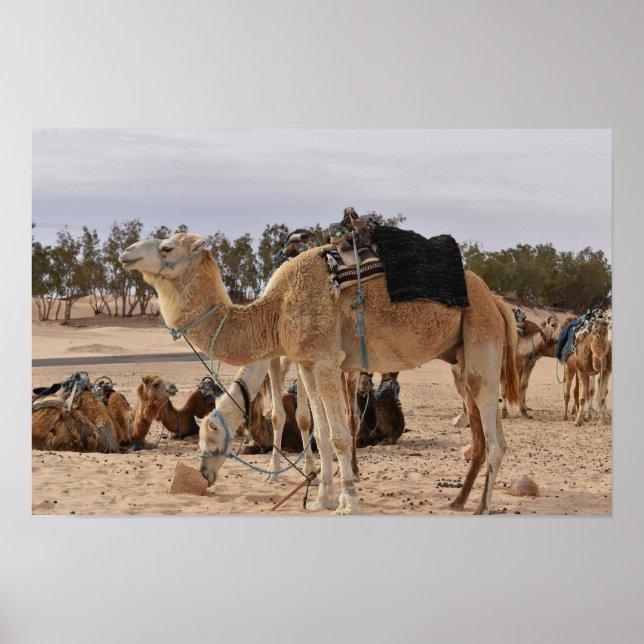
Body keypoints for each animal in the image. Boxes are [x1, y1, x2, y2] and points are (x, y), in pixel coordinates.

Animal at [120, 232, 519, 515]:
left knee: (496, 438)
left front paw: (348, 502)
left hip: (482, 340)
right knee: (484, 431)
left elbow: (338, 435)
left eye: (168, 247)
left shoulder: (325, 359)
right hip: (460, 357)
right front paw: (321, 498)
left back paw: (482, 508)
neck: (274, 308)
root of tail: (496, 301)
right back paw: (459, 501)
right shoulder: (307, 361)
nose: (126, 254)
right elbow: (320, 432)